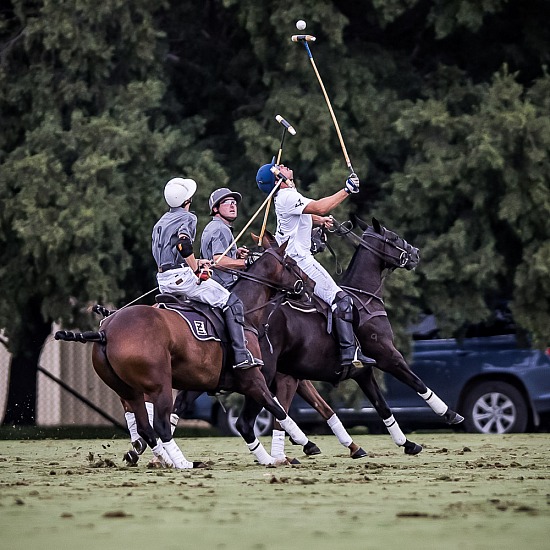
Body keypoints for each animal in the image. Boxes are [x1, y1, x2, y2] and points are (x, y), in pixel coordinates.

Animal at [57, 242, 314, 470]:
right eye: (291, 263)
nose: (310, 286)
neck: (248, 315)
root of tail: (104, 331)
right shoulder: (253, 378)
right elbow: (276, 410)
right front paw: (303, 443)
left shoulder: (200, 383)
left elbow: (251, 420)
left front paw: (270, 458)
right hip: (158, 385)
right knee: (159, 425)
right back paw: (183, 463)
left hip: (127, 390)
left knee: (145, 427)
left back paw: (164, 460)